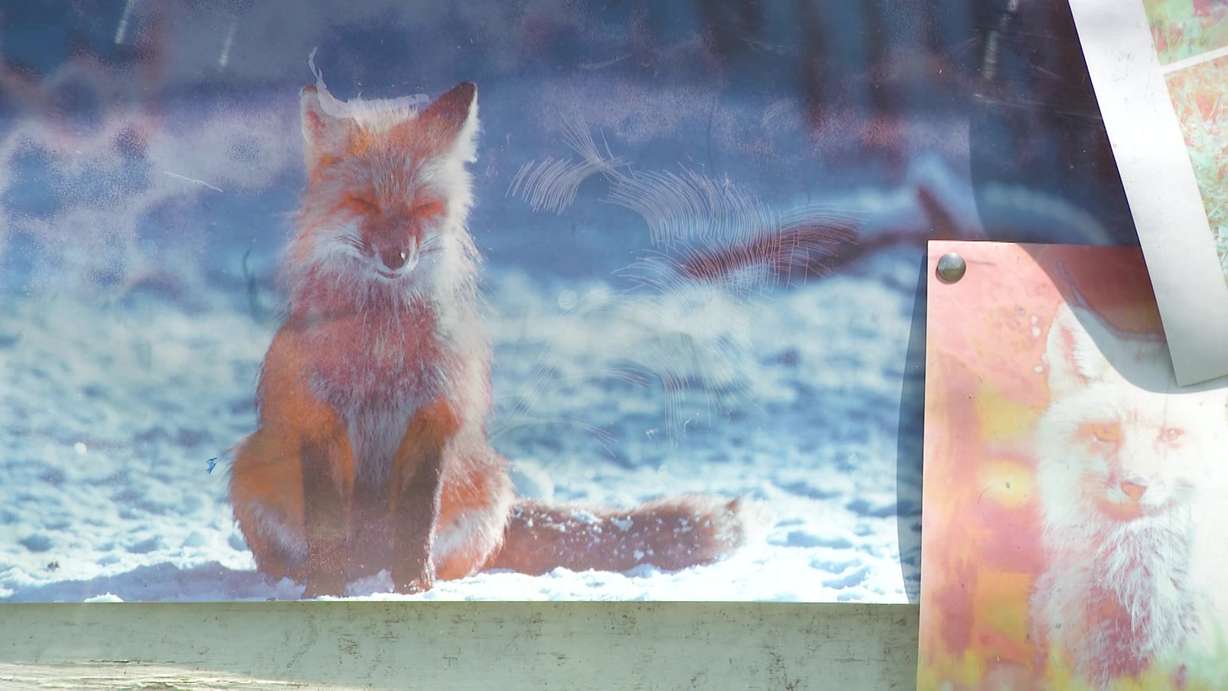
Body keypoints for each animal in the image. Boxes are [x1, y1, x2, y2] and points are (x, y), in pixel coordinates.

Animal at [227, 77, 746, 597]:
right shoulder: (318, 416)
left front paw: (414, 589)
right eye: (365, 203)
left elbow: (416, 523)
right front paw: (326, 592)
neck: (381, 345)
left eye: (422, 207)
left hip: (489, 481)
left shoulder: (435, 413)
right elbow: (327, 526)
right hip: (249, 465)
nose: (397, 256)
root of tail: (367, 565)